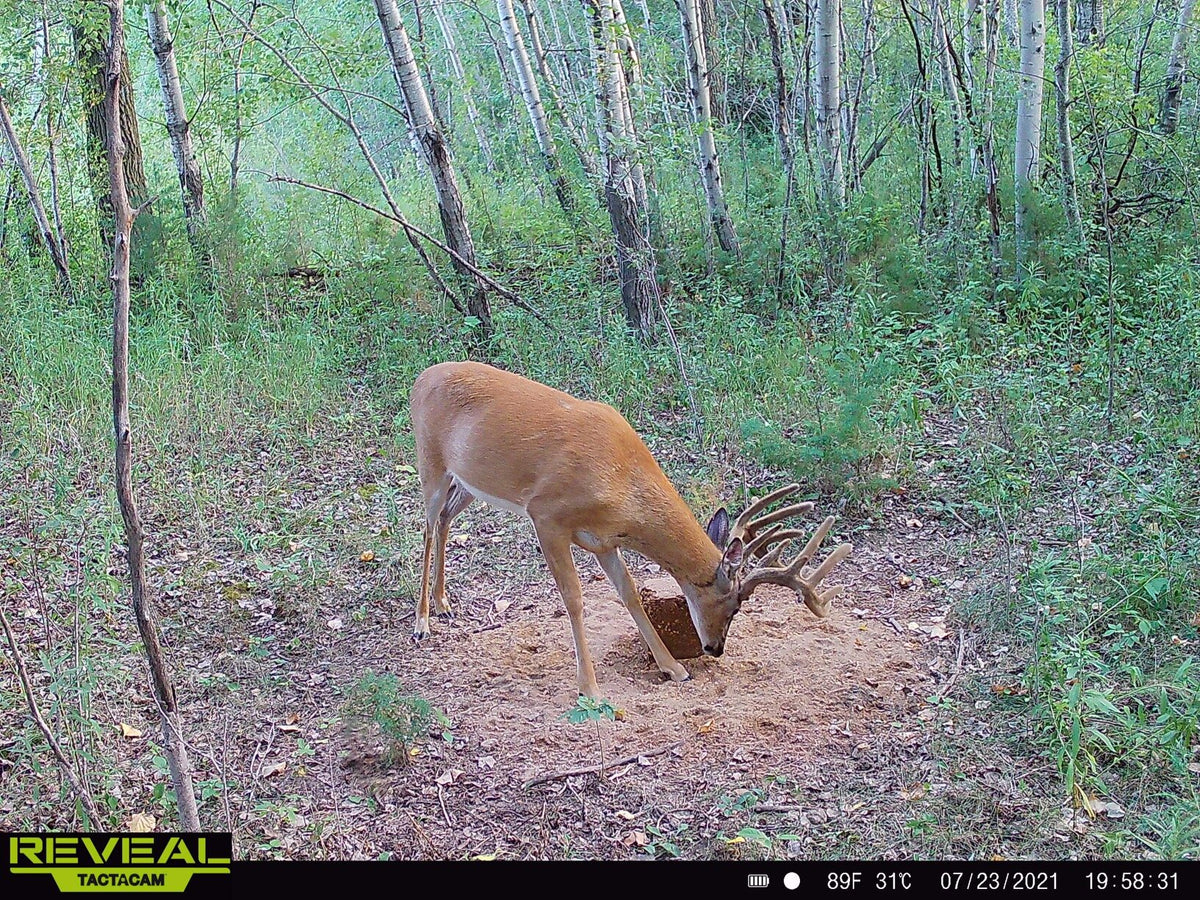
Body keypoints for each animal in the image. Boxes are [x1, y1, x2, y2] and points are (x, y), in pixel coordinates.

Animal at [408, 361, 853, 699]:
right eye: (735, 605)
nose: (715, 649)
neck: (621, 485)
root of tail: (420, 378)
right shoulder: (547, 516)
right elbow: (574, 599)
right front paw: (589, 688)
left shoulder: (604, 541)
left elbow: (631, 595)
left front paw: (674, 668)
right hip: (429, 461)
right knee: (427, 527)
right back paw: (422, 622)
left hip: (468, 483)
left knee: (445, 520)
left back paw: (444, 602)